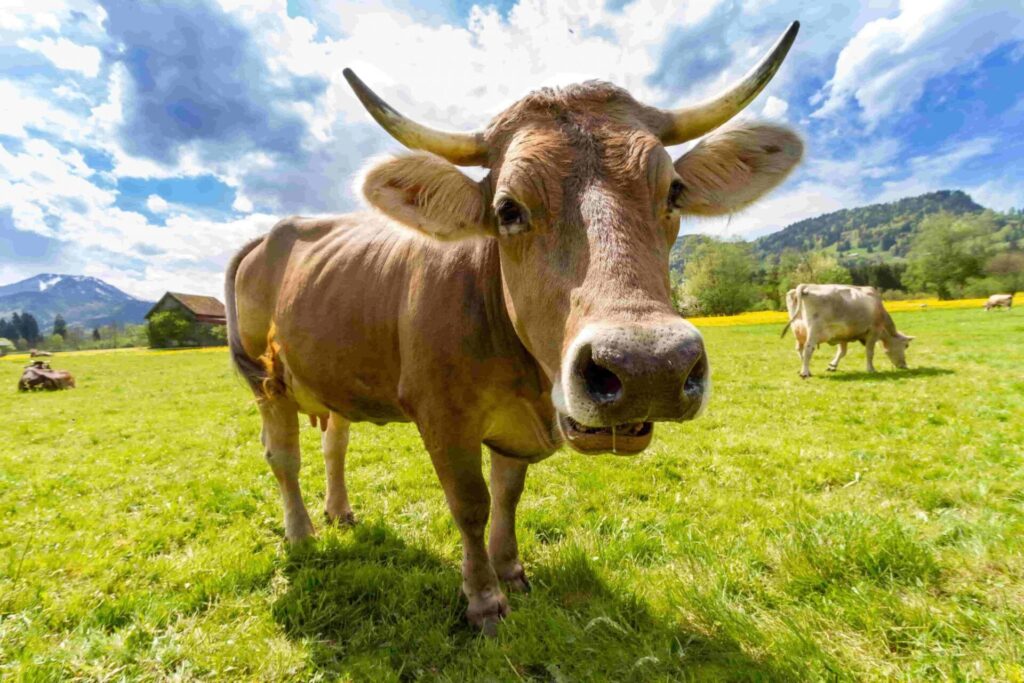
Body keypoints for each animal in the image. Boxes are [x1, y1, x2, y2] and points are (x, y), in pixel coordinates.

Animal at [226, 23, 803, 632]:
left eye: (673, 191)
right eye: (507, 209)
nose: (650, 367)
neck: (525, 378)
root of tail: (274, 232)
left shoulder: (513, 429)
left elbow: (508, 495)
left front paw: (511, 572)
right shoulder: (442, 416)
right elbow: (471, 503)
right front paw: (484, 598)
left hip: (332, 374)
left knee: (334, 442)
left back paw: (339, 512)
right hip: (266, 382)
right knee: (283, 456)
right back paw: (302, 533)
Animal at [782, 284, 914, 378]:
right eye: (906, 346)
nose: (904, 366)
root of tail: (806, 286)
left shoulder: (842, 335)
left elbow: (842, 352)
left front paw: (832, 366)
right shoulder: (873, 332)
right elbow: (869, 352)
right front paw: (871, 369)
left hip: (798, 330)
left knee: (800, 349)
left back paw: (806, 369)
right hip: (813, 331)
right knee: (808, 349)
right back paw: (805, 372)